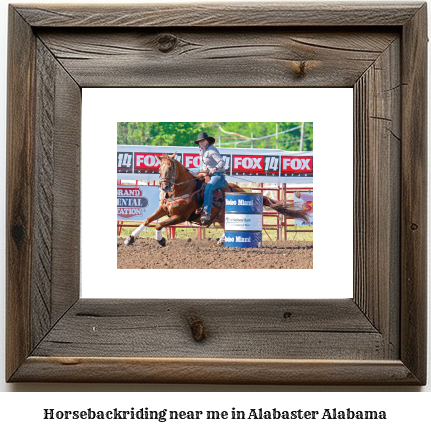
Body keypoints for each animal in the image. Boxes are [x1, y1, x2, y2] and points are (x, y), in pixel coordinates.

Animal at [124, 152, 310, 246]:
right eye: (159, 169)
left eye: (170, 168)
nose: (164, 188)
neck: (183, 189)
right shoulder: (164, 209)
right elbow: (148, 220)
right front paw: (130, 238)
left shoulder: (181, 216)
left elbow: (158, 224)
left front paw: (161, 240)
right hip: (222, 217)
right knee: (227, 227)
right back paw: (222, 240)